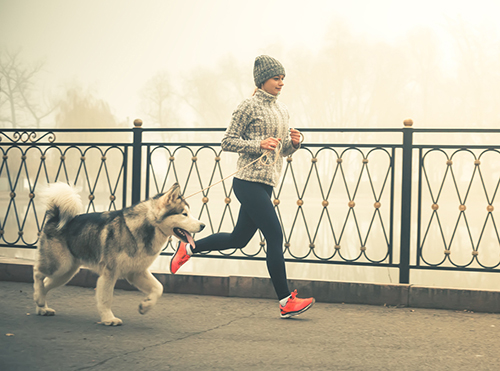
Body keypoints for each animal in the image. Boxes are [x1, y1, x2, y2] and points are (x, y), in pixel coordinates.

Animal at [33, 183, 205, 326]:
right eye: (184, 214)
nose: (203, 225)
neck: (142, 228)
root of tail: (55, 218)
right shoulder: (110, 273)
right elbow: (106, 298)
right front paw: (108, 318)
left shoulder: (136, 272)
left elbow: (159, 288)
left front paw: (146, 305)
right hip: (59, 265)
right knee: (37, 273)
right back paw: (38, 297)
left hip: (66, 272)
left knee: (46, 284)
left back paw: (41, 305)